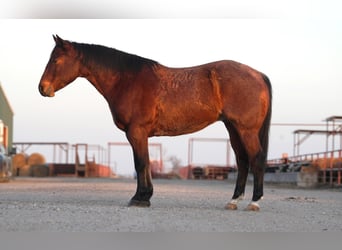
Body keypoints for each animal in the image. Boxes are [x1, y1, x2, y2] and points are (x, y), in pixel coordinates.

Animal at [38, 35, 272, 211]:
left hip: (246, 130)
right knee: (242, 160)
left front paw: (140, 198)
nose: (42, 88)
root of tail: (258, 74)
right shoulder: (140, 135)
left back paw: (254, 202)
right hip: (233, 128)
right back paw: (233, 201)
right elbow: (147, 164)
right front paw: (145, 196)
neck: (127, 80)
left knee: (256, 158)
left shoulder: (136, 132)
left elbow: (141, 163)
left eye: (56, 60)